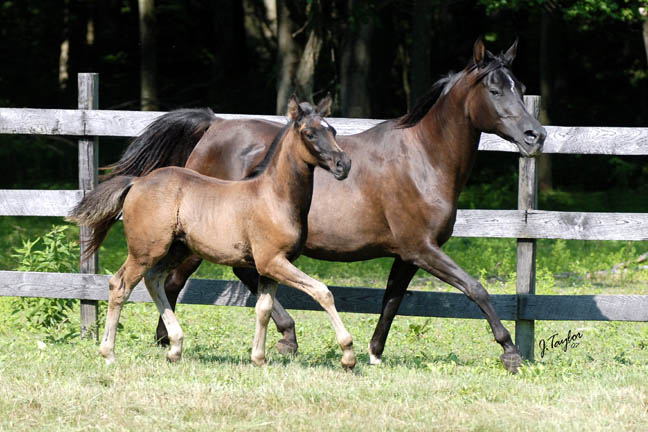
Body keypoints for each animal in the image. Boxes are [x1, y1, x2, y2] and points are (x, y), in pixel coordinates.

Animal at [68, 95, 356, 368]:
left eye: (333, 131)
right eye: (310, 133)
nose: (343, 164)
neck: (274, 197)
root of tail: (137, 182)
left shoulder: (268, 267)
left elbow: (263, 308)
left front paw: (259, 358)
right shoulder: (272, 261)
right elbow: (322, 291)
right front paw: (348, 354)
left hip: (177, 250)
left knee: (154, 280)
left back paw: (175, 347)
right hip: (145, 251)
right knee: (120, 285)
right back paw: (109, 353)